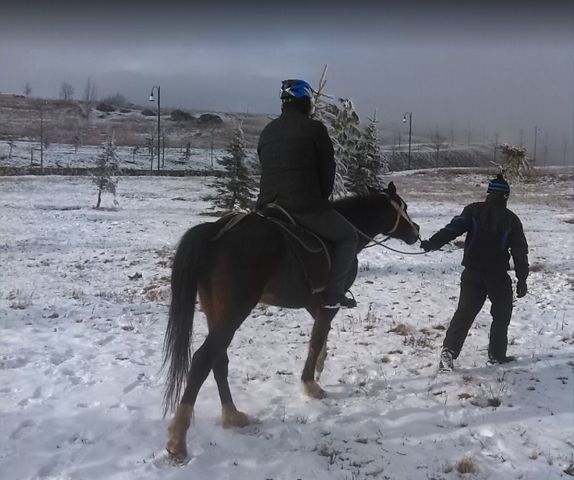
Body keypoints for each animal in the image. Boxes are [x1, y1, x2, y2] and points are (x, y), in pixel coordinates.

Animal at [164, 182, 420, 460]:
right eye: (404, 207)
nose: (416, 231)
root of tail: (214, 232)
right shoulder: (329, 301)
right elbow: (317, 338)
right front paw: (310, 383)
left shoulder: (313, 302)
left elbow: (321, 334)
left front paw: (319, 365)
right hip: (234, 312)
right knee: (203, 359)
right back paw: (178, 439)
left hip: (216, 311)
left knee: (218, 360)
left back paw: (232, 415)